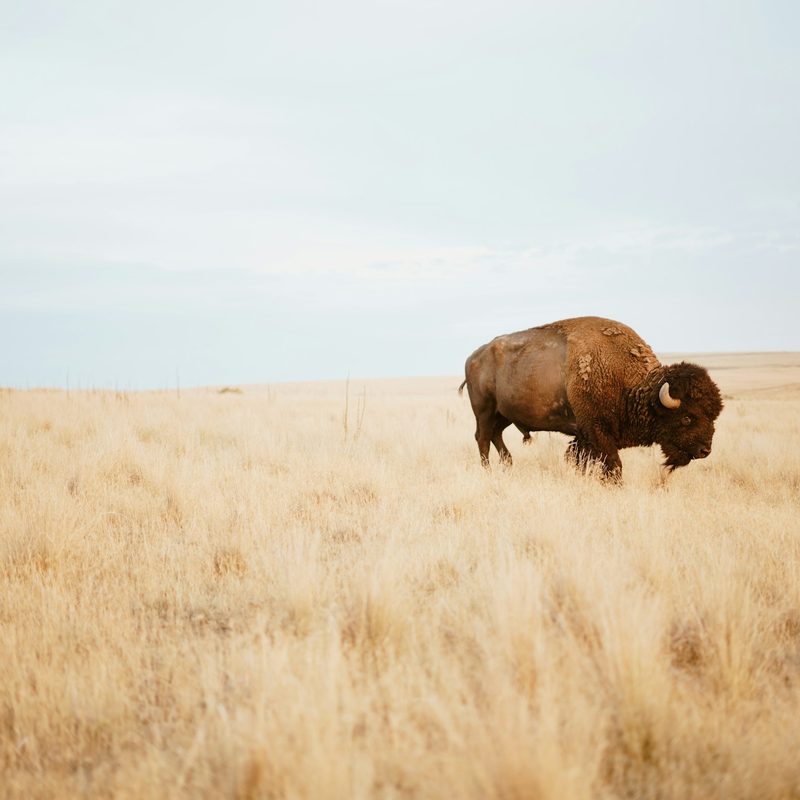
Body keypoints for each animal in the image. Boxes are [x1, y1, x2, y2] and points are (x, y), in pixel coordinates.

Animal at [459, 316, 723, 479]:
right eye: (687, 417)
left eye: (713, 416)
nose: (705, 450)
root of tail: (473, 357)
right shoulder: (597, 431)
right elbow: (613, 465)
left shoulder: (585, 436)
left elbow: (580, 460)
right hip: (484, 410)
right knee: (483, 439)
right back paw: (488, 471)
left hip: (504, 415)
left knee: (495, 436)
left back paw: (508, 465)